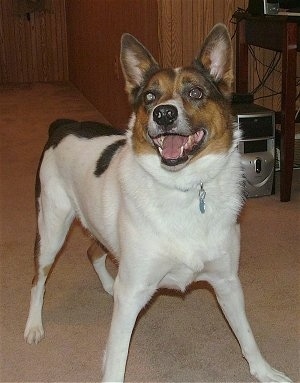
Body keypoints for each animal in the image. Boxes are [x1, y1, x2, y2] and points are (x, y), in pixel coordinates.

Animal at [24, 24, 292, 383]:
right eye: (150, 96)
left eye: (195, 93)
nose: (164, 113)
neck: (184, 189)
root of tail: (64, 125)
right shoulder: (133, 292)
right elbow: (116, 359)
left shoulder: (227, 281)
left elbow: (247, 335)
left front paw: (264, 371)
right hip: (52, 228)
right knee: (38, 279)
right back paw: (34, 326)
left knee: (93, 252)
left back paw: (107, 285)